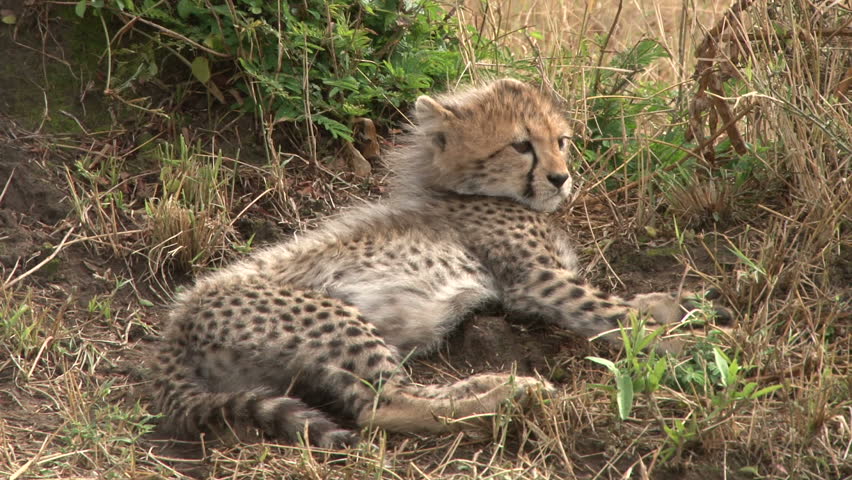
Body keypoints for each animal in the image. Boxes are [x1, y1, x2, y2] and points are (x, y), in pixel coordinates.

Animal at [151, 78, 724, 449]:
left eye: (561, 141)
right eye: (521, 145)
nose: (561, 178)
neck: (465, 190)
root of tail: (174, 324)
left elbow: (636, 301)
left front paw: (686, 303)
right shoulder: (535, 282)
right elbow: (612, 312)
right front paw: (696, 344)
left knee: (390, 397)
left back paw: (499, 386)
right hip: (329, 317)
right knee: (385, 407)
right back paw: (509, 398)